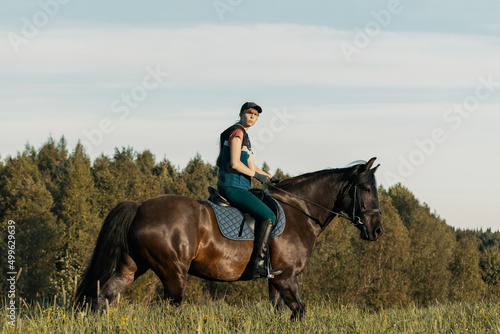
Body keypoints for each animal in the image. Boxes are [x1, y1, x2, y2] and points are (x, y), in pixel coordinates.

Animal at [74, 158, 382, 320]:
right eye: (367, 189)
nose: (377, 230)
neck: (300, 210)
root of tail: (139, 205)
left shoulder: (276, 279)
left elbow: (279, 313)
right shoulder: (287, 278)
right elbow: (299, 312)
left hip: (132, 266)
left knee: (101, 298)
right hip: (173, 272)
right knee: (170, 308)